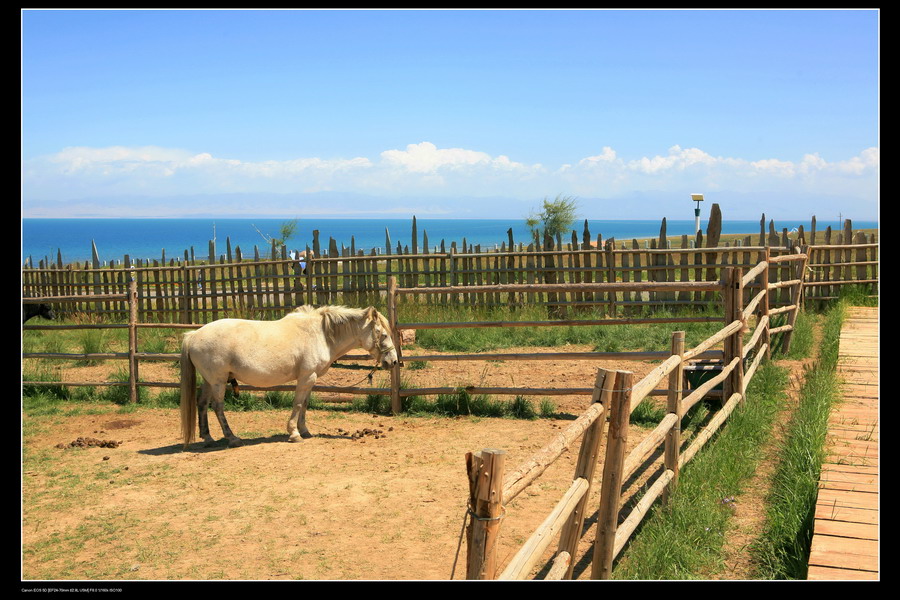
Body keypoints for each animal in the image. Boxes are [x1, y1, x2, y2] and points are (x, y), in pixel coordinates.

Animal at [179, 308, 398, 448]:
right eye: (383, 334)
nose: (394, 361)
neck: (321, 335)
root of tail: (194, 335)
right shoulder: (306, 377)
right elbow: (298, 404)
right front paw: (294, 434)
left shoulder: (310, 379)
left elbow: (305, 405)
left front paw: (305, 430)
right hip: (218, 381)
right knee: (217, 407)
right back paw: (232, 438)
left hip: (209, 380)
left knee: (202, 404)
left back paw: (208, 438)